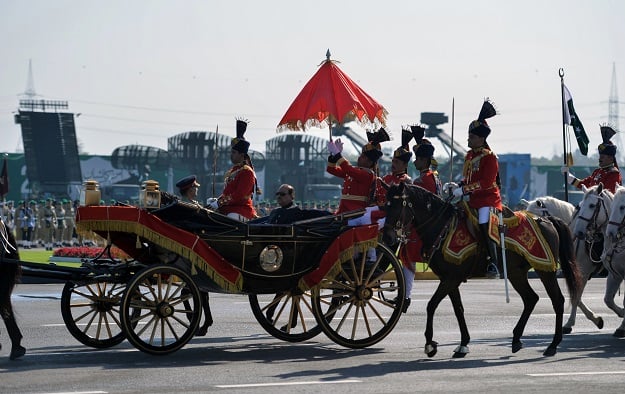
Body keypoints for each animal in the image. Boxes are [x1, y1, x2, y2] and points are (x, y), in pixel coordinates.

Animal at [382, 183, 584, 358]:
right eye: (386, 205)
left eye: (397, 205)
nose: (388, 237)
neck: (443, 227)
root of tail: (547, 220)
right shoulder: (450, 278)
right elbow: (458, 309)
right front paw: (463, 344)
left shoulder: (451, 278)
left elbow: (431, 305)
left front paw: (430, 344)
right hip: (516, 273)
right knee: (530, 299)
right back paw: (516, 339)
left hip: (545, 270)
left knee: (557, 300)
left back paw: (553, 345)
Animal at [524, 194, 608, 332]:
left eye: (536, 219)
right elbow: (576, 297)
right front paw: (596, 319)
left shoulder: (583, 273)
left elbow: (576, 297)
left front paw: (569, 323)